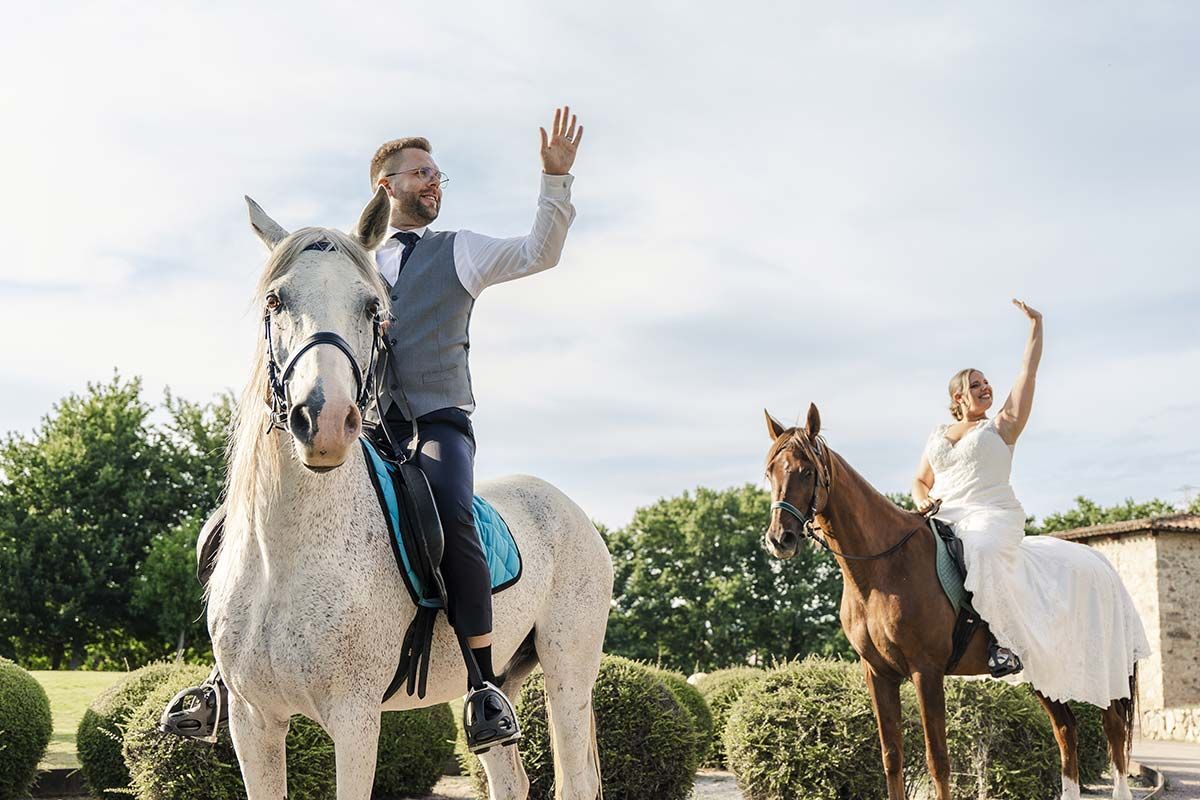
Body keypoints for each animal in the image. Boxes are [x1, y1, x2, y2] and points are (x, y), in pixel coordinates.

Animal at [205, 187, 612, 800]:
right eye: (275, 300)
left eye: (373, 308)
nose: (323, 422)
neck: (284, 556)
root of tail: (572, 510)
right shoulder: (253, 721)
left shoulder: (354, 719)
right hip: (497, 680)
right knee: (509, 775)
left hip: (569, 670)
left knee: (577, 776)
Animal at [762, 404, 1137, 800]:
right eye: (770, 472)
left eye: (806, 471)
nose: (780, 539)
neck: (883, 566)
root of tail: (1100, 563)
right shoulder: (878, 674)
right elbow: (891, 757)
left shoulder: (926, 672)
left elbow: (937, 761)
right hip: (1046, 670)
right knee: (1066, 730)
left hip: (1101, 669)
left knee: (1113, 730)